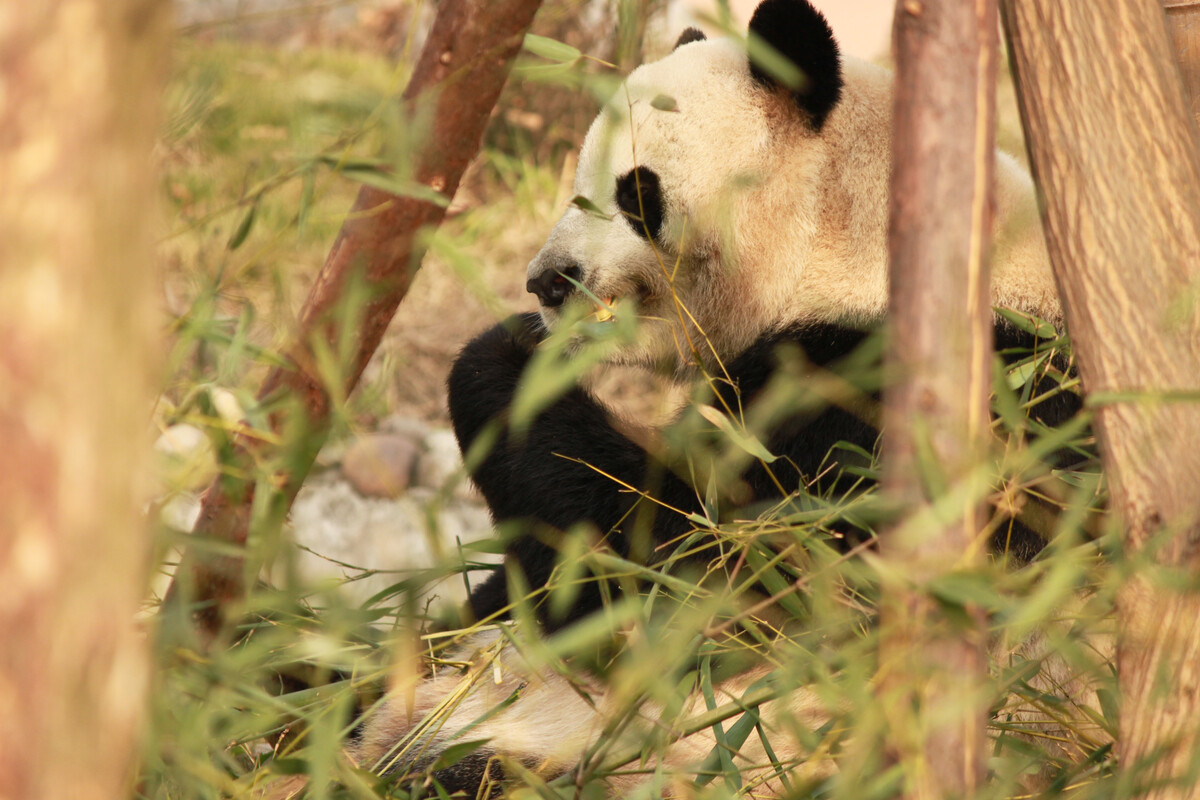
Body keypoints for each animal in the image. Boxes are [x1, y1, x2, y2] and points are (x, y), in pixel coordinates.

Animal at [348, 0, 1099, 796]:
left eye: (637, 193)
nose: (548, 281)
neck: (850, 243)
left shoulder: (897, 410)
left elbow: (705, 575)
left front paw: (506, 363)